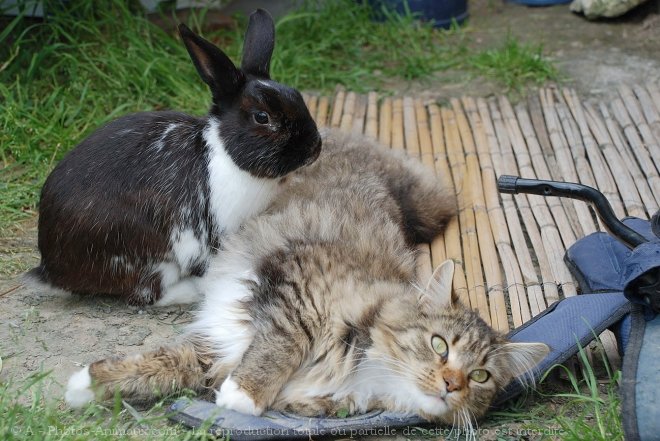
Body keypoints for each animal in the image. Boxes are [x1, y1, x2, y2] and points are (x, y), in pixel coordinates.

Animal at [29, 10, 324, 306]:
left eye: (297, 95)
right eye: (262, 117)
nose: (315, 147)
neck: (225, 155)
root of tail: (51, 270)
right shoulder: (205, 239)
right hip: (144, 254)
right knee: (147, 293)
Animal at [64, 128, 548, 426]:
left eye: (480, 377)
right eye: (439, 345)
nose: (451, 385)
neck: (361, 372)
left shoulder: (222, 345)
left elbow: (164, 364)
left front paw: (86, 385)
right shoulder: (298, 288)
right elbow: (275, 348)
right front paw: (244, 395)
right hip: (430, 206)